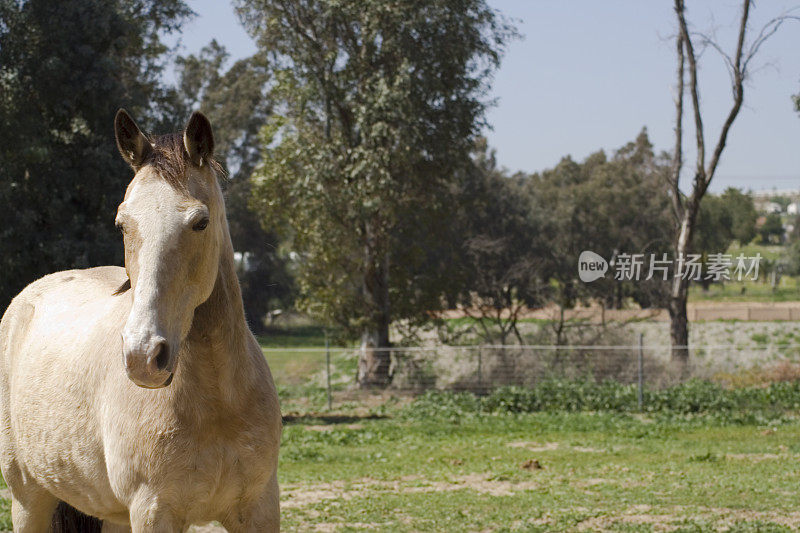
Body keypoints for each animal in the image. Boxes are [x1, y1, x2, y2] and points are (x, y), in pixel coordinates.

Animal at [0, 110, 284, 528]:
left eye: (200, 222)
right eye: (122, 223)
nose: (142, 357)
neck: (217, 405)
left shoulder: (260, 508)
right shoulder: (154, 511)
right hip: (28, 500)